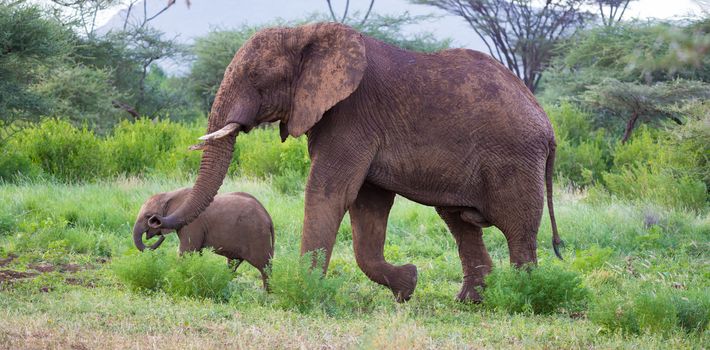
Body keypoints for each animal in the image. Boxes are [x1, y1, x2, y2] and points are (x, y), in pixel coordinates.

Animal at [134, 187, 276, 288]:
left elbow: (187, 251)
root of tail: (268, 217)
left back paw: (267, 294)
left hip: (256, 235)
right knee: (233, 264)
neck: (170, 195)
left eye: (148, 217)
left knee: (264, 266)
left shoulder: (192, 224)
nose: (161, 237)